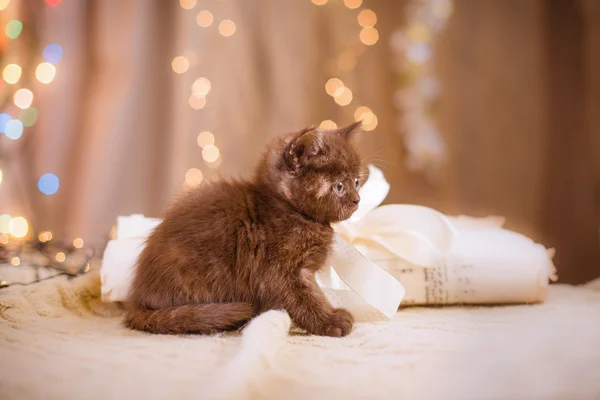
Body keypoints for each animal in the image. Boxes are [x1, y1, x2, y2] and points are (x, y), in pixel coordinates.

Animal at [124, 122, 364, 338]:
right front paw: (331, 321)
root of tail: (137, 296)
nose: (357, 200)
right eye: (339, 186)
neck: (287, 207)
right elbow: (304, 299)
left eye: (356, 181)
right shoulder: (278, 271)